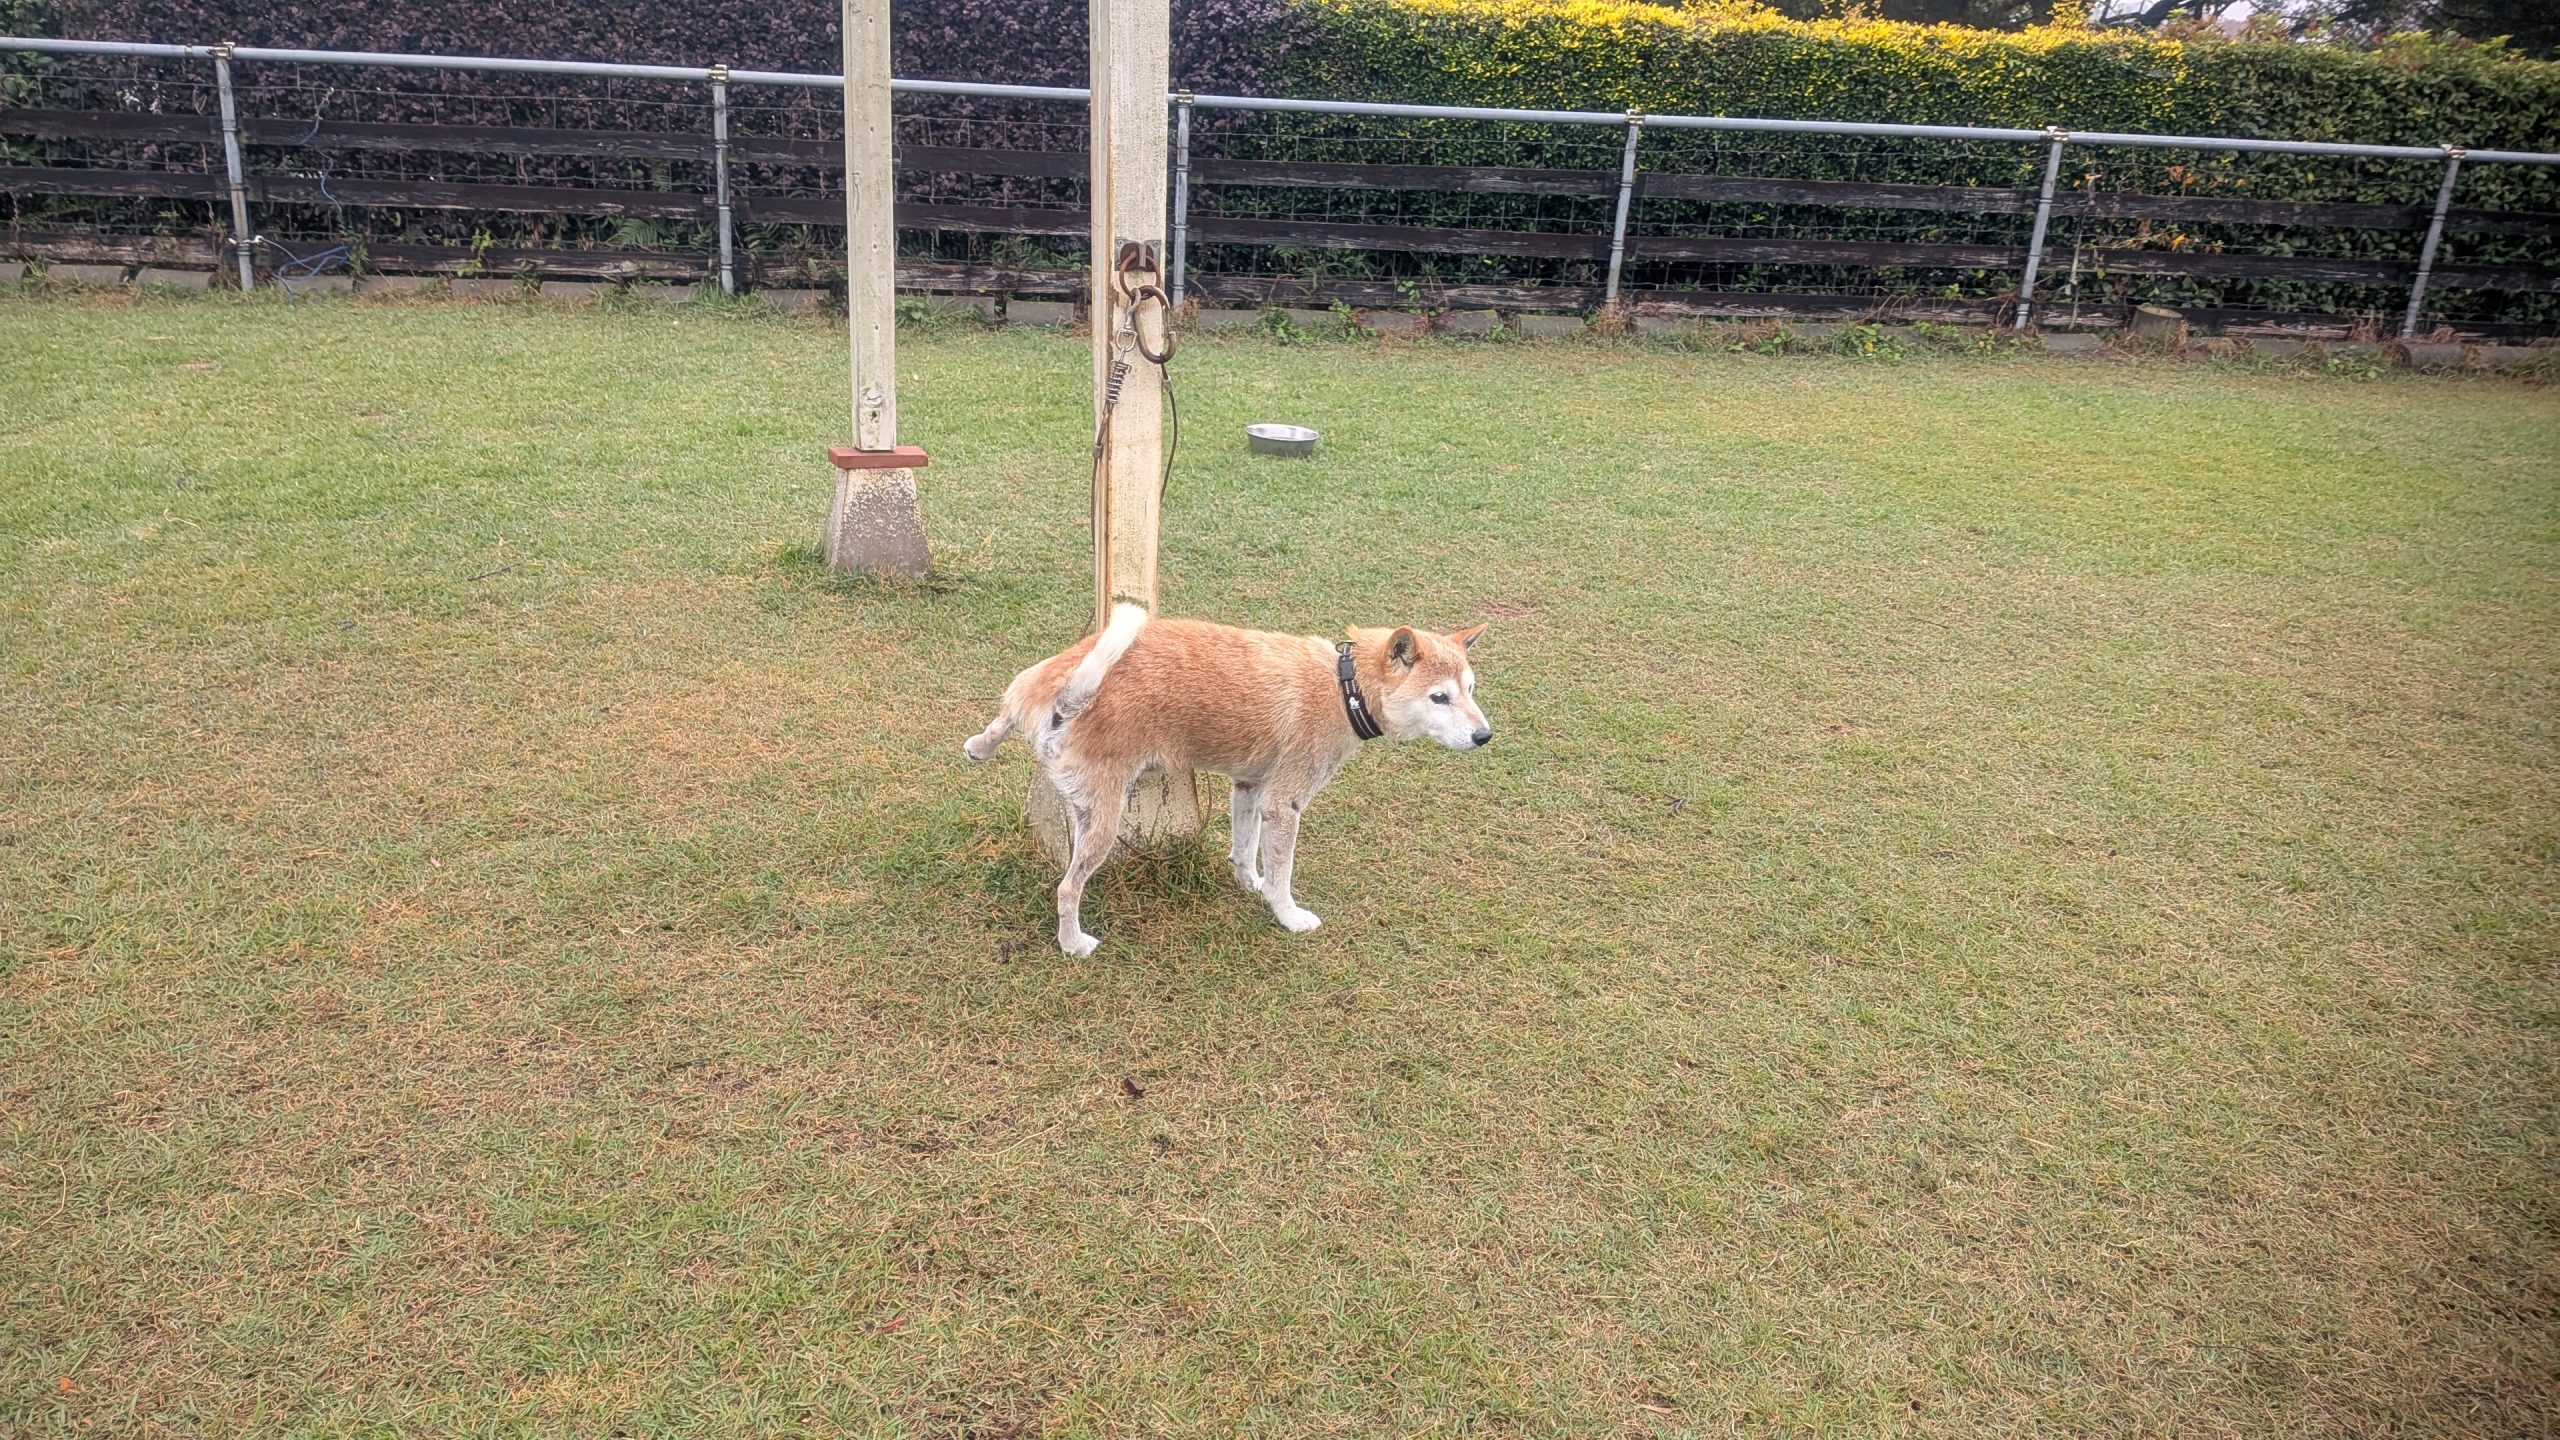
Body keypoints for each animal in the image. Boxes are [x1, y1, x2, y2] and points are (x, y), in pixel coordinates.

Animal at [964, 605, 1493, 954]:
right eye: (1440, 697)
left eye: (1469, 690)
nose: (1485, 735)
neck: (1346, 685)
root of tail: (1068, 702)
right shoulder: (1284, 804)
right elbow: (1282, 875)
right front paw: (1287, 915)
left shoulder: (1250, 790)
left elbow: (1244, 849)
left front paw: (1249, 884)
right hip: (1104, 824)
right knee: (1067, 890)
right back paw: (1073, 943)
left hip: (1037, 701)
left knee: (1003, 716)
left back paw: (980, 745)